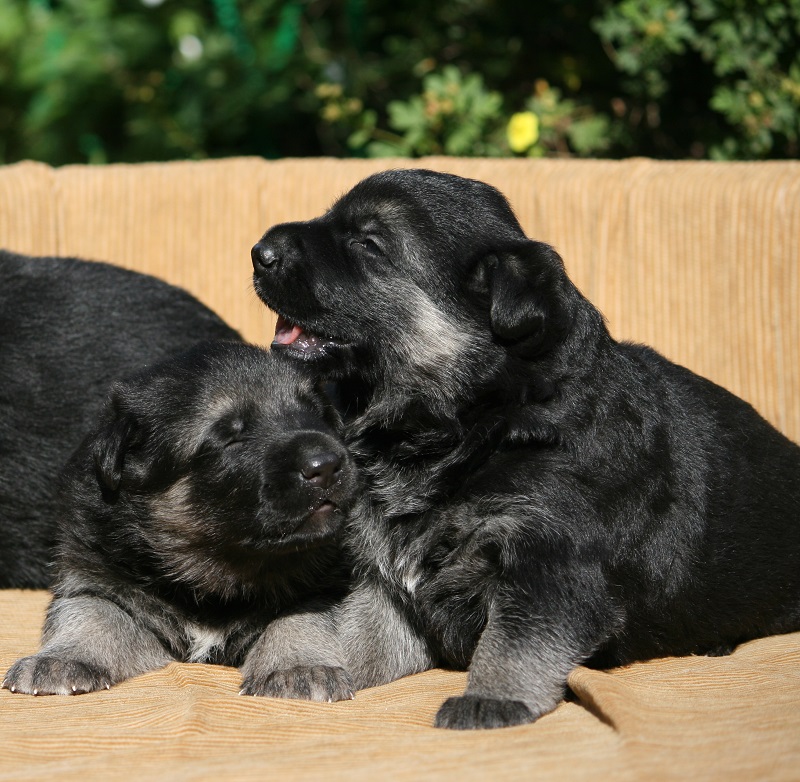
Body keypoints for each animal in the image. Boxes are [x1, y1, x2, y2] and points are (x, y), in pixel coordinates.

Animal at [2, 344, 360, 700]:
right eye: (230, 437)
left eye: (316, 415)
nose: (326, 464)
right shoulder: (92, 574)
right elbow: (92, 612)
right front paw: (62, 658)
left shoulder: (328, 583)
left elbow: (300, 617)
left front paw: (298, 665)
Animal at [248, 168, 800, 732]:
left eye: (368, 242)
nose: (259, 252)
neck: (477, 421)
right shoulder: (390, 585)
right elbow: (351, 630)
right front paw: (299, 664)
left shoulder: (550, 560)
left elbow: (515, 638)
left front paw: (491, 699)